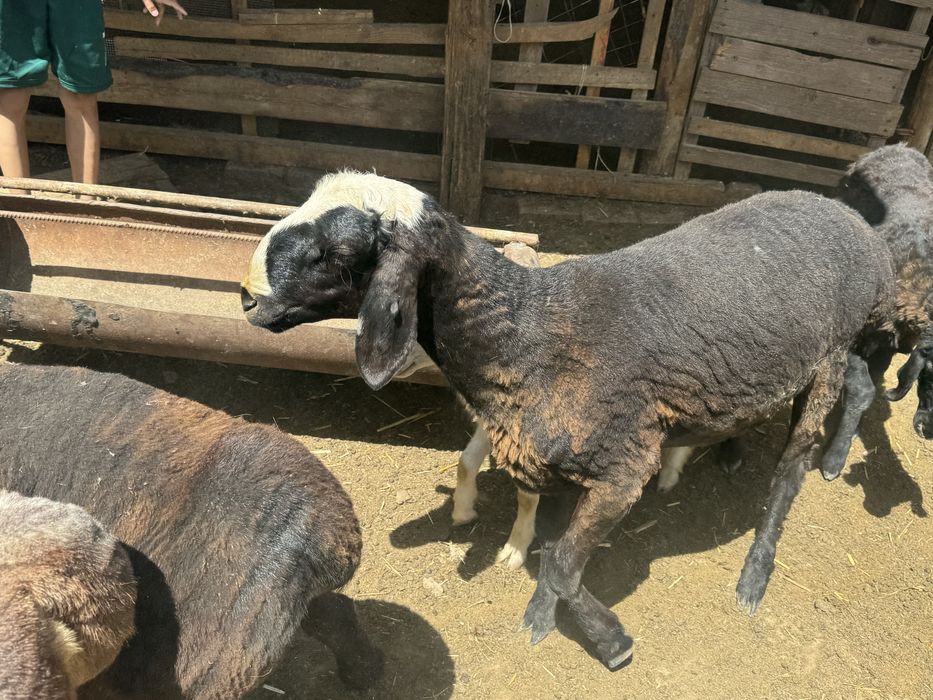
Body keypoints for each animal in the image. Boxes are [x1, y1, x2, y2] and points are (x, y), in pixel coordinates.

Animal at [241, 171, 895, 668]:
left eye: (335, 252)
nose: (246, 296)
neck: (523, 326)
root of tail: (848, 217)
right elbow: (545, 539)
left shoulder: (622, 469)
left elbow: (559, 561)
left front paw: (602, 639)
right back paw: (729, 454)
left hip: (830, 355)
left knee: (790, 472)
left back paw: (757, 571)